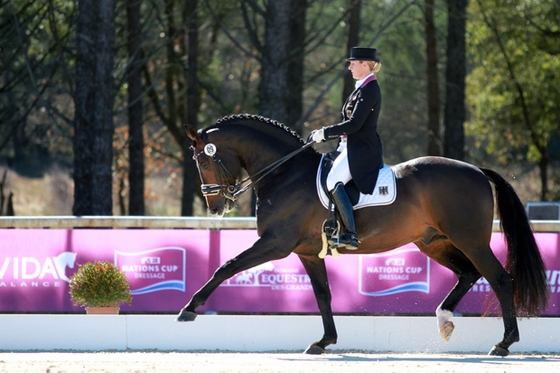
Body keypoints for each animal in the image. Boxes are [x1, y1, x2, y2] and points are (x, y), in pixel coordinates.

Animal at [178, 112, 548, 354]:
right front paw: (324, 342)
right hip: (434, 243)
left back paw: (503, 344)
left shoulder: (274, 244)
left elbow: (225, 267)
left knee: (499, 278)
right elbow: (323, 295)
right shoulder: (307, 252)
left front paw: (189, 309)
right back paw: (444, 320)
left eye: (203, 160)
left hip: (470, 240)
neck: (286, 173)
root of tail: (477, 171)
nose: (215, 208)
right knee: (469, 274)